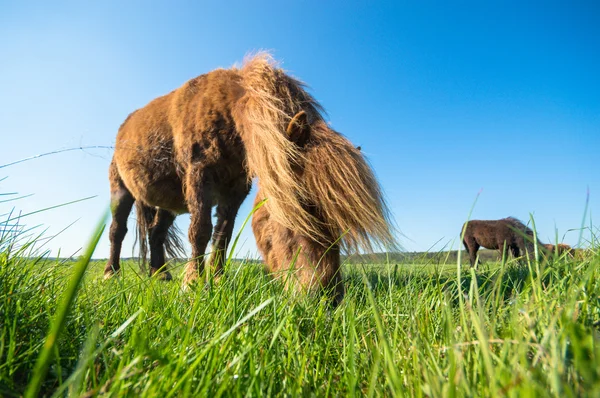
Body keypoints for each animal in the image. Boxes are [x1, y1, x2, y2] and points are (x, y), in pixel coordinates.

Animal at [104, 52, 398, 298]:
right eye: (301, 208)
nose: (328, 296)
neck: (226, 113)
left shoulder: (235, 191)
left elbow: (222, 236)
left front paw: (218, 280)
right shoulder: (200, 178)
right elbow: (200, 231)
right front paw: (194, 283)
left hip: (169, 204)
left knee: (156, 234)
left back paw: (161, 276)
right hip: (122, 191)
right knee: (117, 231)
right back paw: (111, 274)